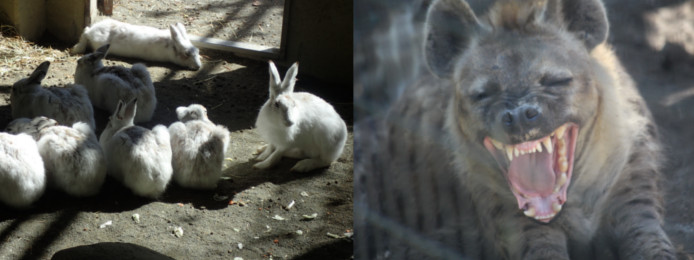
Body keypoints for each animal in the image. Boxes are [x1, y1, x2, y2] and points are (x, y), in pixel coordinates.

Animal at [70, 18, 201, 70]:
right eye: (187, 54)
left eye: (197, 51)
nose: (199, 66)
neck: (169, 44)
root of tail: (94, 30)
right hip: (98, 41)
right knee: (85, 33)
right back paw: (76, 49)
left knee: (86, 30)